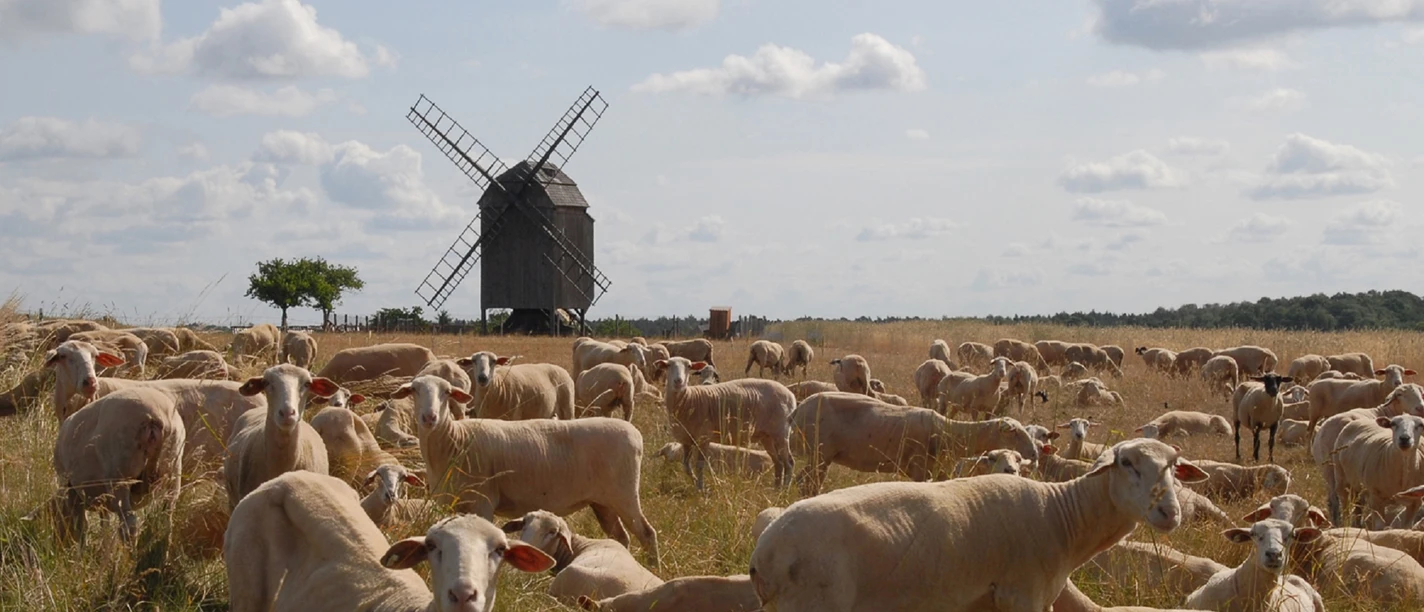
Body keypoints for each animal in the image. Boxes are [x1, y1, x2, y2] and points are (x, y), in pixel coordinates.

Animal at [51, 386, 185, 543]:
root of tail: (154, 417)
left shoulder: (70, 487)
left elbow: (81, 527)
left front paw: (82, 548)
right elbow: (104, 525)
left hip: (120, 475)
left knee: (129, 524)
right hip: (173, 469)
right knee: (166, 517)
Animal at [395, 374, 659, 560]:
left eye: (447, 392)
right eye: (415, 390)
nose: (430, 418)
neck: (455, 441)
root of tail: (635, 433)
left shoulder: (483, 502)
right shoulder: (448, 503)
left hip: (624, 494)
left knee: (646, 533)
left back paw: (652, 566)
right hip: (602, 502)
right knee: (620, 536)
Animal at [657, 357, 794, 489]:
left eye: (689, 366)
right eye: (668, 365)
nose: (678, 381)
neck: (689, 398)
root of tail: (790, 395)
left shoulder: (704, 438)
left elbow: (700, 465)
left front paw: (701, 489)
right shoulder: (686, 440)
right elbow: (686, 466)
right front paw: (697, 483)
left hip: (781, 433)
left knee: (789, 463)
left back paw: (784, 490)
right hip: (767, 436)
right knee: (778, 462)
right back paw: (776, 488)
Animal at [747, 438, 1210, 612]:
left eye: (1174, 466)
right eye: (1127, 463)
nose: (1170, 512)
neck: (1064, 517)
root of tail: (762, 554)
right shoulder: (1021, 597)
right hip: (814, 603)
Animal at [790, 391, 1039, 494]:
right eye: (1014, 433)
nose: (1035, 455)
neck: (950, 433)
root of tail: (796, 411)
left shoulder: (939, 471)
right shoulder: (920, 469)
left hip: (821, 456)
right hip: (819, 453)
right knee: (806, 482)